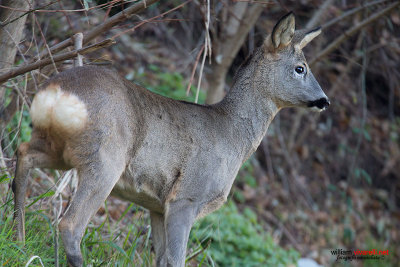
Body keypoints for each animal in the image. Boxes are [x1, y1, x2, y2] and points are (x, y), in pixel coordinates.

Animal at [14, 13, 330, 267]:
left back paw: (19, 241)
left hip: (58, 147)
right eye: (300, 68)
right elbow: (177, 260)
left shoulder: (157, 205)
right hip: (105, 159)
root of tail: (57, 92)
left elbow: (162, 260)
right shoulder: (187, 197)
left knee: (23, 154)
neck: (233, 137)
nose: (325, 100)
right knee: (70, 223)